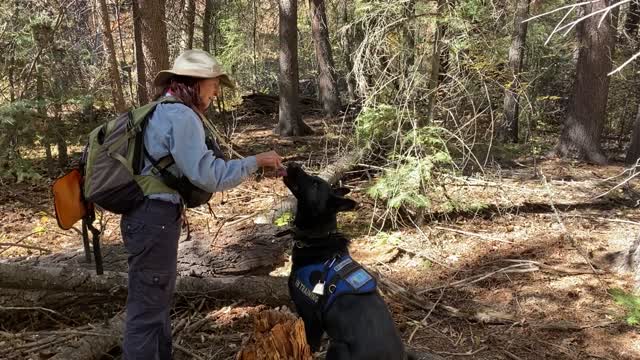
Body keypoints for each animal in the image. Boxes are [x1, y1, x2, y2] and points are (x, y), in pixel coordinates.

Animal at [282, 164, 412, 360]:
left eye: (315, 183)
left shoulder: (311, 319)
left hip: (338, 347)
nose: (293, 164)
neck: (318, 238)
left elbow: (310, 346)